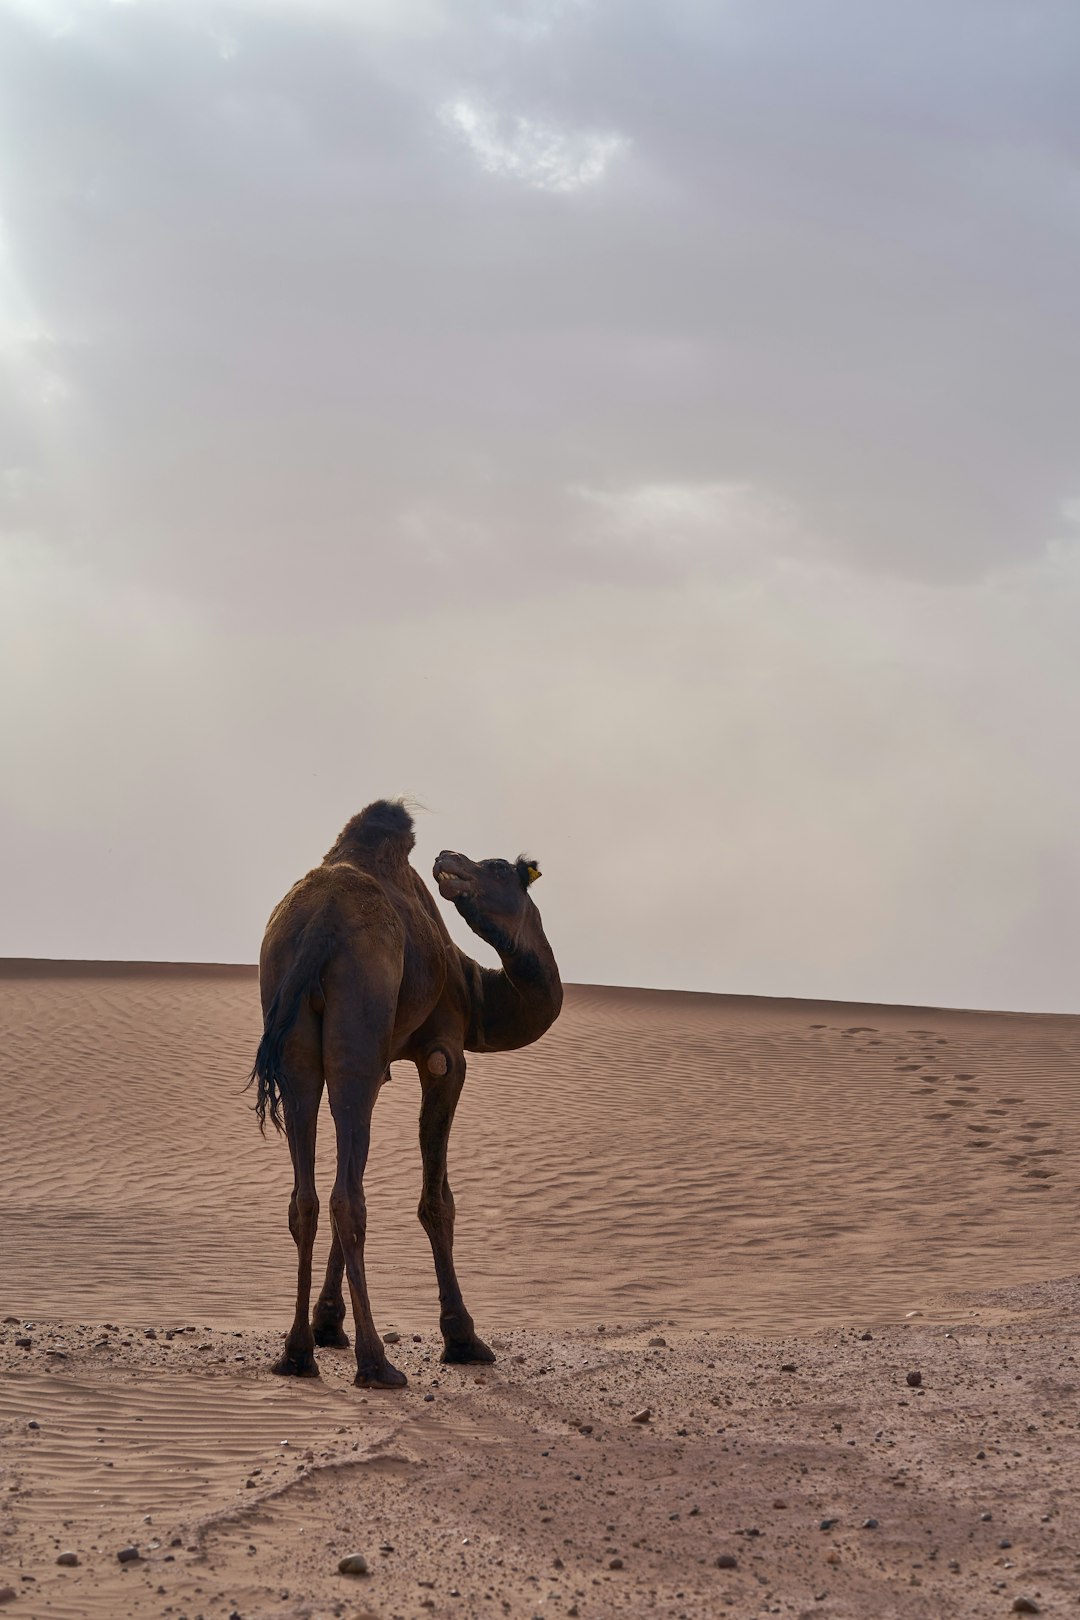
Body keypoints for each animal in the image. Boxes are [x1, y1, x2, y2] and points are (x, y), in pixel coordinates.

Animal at [247, 793, 563, 1380]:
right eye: (499, 866)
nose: (449, 857)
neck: (475, 991)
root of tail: (319, 921)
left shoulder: (387, 1062)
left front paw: (328, 1325)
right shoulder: (444, 1053)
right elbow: (438, 1201)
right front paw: (463, 1338)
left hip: (296, 1037)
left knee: (309, 1197)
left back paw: (297, 1353)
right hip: (359, 1019)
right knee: (347, 1198)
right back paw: (377, 1364)